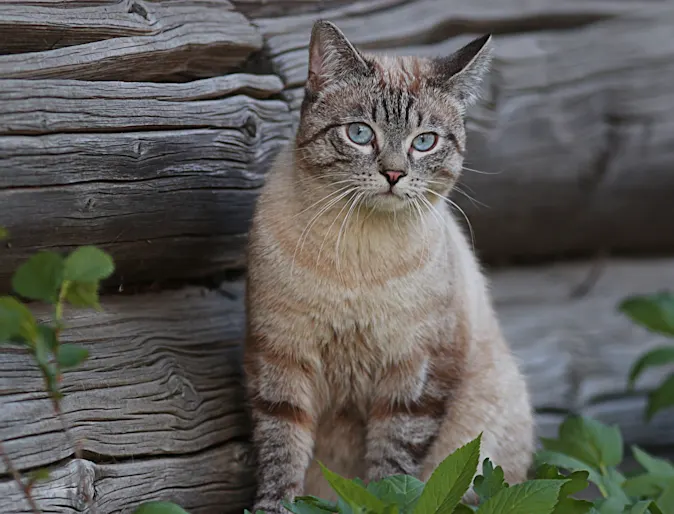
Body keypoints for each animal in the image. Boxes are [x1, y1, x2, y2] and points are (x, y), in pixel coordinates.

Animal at [244, 18, 532, 510]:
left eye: (424, 143)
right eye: (360, 134)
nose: (394, 174)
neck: (360, 257)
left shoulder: (414, 377)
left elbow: (392, 474)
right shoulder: (282, 358)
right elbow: (281, 459)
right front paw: (274, 509)